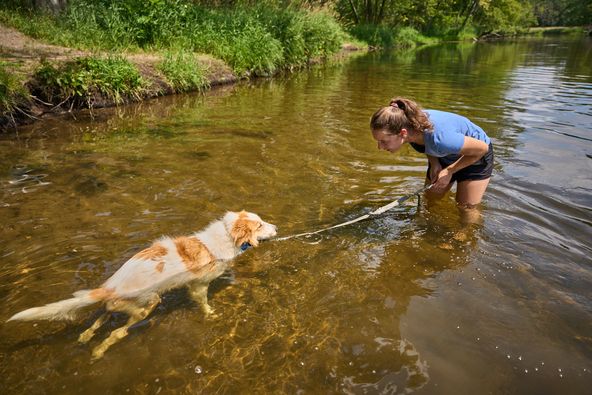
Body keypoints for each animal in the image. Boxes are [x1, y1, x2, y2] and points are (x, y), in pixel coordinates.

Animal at [5, 212, 278, 360]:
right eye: (260, 225)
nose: (278, 227)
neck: (224, 237)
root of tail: (111, 287)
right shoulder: (199, 285)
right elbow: (203, 301)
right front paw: (210, 314)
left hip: (118, 304)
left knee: (101, 316)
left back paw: (85, 337)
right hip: (147, 305)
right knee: (117, 333)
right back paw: (98, 351)